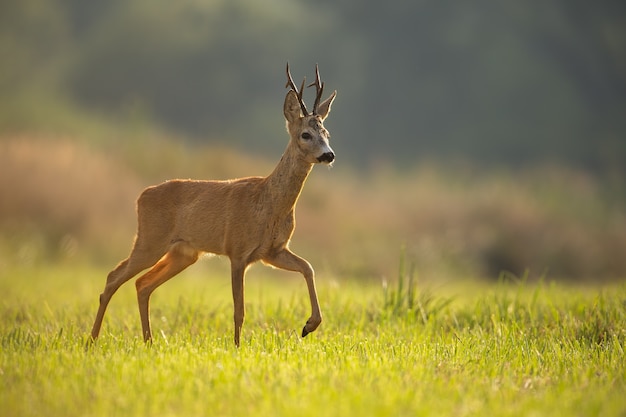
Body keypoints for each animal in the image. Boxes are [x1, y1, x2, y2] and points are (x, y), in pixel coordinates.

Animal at [88, 64, 336, 344]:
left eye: (327, 133)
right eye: (306, 134)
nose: (328, 155)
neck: (268, 203)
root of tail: (141, 195)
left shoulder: (272, 251)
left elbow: (309, 267)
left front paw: (309, 325)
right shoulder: (237, 250)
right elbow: (239, 310)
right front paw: (237, 347)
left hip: (183, 253)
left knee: (142, 284)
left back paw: (148, 341)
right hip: (150, 240)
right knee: (113, 277)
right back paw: (92, 340)